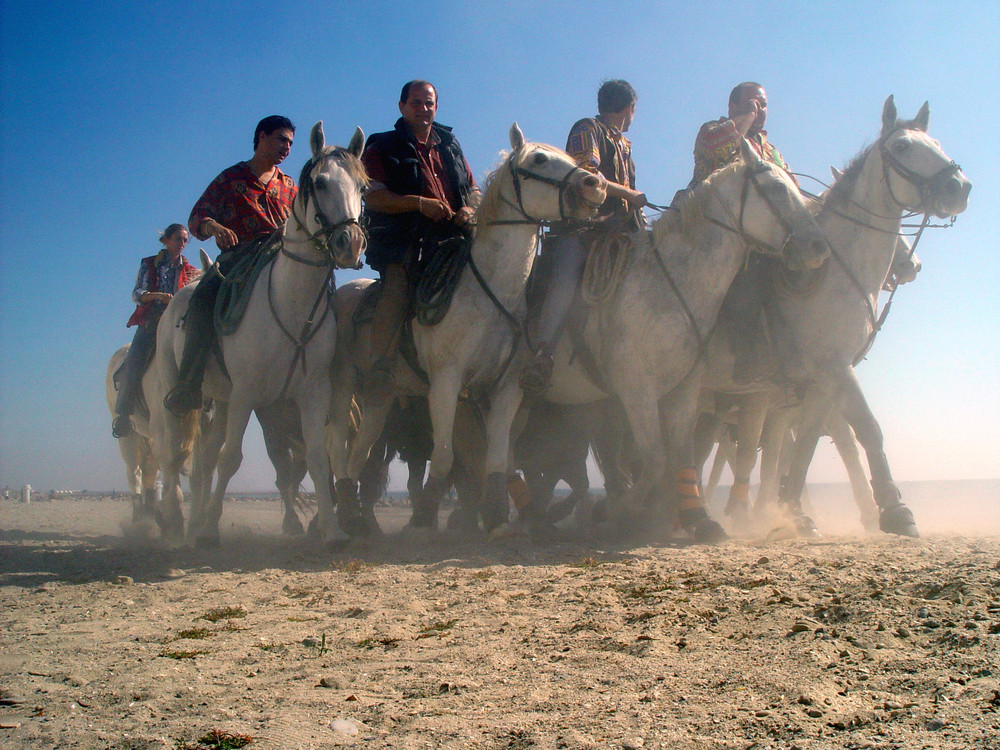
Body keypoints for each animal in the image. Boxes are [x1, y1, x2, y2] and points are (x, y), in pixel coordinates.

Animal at [158, 122, 370, 548]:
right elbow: (232, 459)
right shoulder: (247, 394)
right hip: (183, 391)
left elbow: (318, 459)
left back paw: (194, 519)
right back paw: (177, 523)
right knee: (178, 455)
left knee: (204, 460)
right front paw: (210, 531)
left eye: (362, 186)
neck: (291, 303)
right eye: (320, 182)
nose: (350, 244)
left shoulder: (312, 393)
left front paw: (332, 530)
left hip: (220, 401)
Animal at [330, 125, 608, 536]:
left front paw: (495, 518)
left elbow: (497, 460)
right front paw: (425, 516)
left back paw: (355, 516)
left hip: (380, 397)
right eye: (539, 159)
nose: (596, 185)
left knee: (360, 452)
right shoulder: (447, 384)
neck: (488, 292)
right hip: (344, 385)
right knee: (339, 446)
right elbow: (445, 458)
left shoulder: (506, 389)